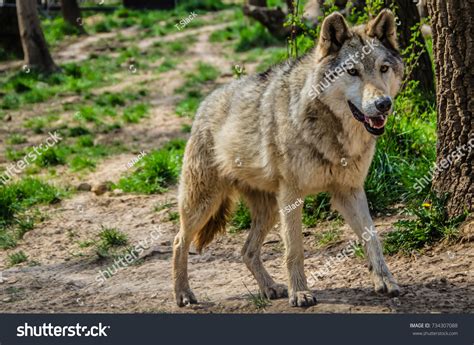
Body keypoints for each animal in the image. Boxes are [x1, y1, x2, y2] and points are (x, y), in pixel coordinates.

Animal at [173, 9, 404, 306]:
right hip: (204, 204)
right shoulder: (292, 195)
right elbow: (295, 250)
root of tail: (204, 103)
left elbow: (372, 237)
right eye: (353, 71)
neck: (330, 130)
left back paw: (270, 288)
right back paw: (183, 293)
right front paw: (301, 293)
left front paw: (385, 281)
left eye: (383, 68)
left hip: (269, 209)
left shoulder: (349, 190)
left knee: (246, 250)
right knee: (179, 241)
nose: (383, 104)